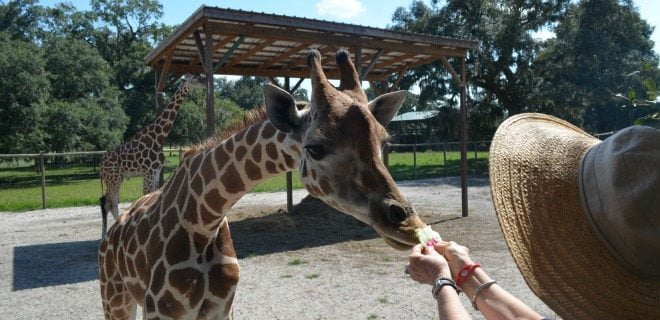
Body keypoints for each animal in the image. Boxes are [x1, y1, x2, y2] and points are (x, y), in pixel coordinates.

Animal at [99, 75, 200, 239]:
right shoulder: (148, 171)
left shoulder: (156, 170)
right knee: (111, 204)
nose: (204, 82)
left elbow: (154, 194)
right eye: (194, 79)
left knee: (105, 203)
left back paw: (105, 234)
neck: (158, 136)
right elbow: (146, 195)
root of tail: (100, 166)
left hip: (114, 179)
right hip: (113, 178)